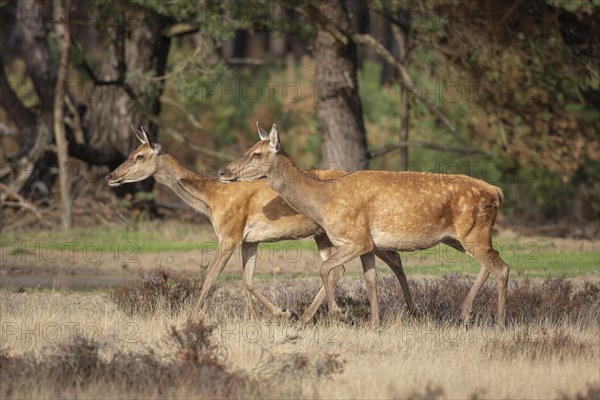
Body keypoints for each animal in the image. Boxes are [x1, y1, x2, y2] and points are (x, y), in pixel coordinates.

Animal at [220, 123, 510, 326]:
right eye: (248, 149)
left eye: (256, 154)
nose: (223, 171)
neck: (325, 201)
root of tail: (497, 192)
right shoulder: (369, 243)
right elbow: (371, 280)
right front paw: (374, 323)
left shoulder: (356, 237)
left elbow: (325, 268)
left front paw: (340, 314)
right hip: (459, 237)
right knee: (491, 264)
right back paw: (466, 313)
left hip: (473, 232)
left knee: (502, 268)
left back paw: (499, 323)